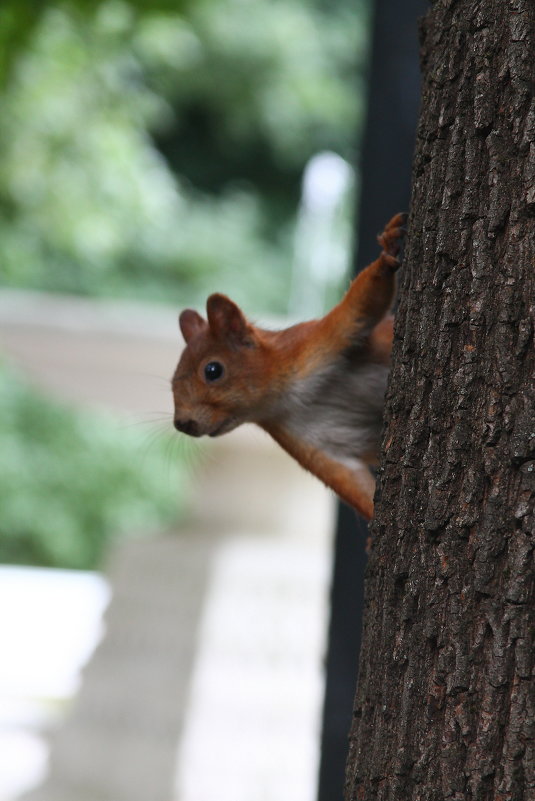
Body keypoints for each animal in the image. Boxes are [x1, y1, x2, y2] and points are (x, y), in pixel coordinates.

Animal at [172, 212, 406, 520]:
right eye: (172, 381)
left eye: (212, 370)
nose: (182, 423)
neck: (285, 400)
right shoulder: (311, 444)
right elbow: (351, 483)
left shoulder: (313, 344)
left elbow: (360, 308)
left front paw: (386, 252)